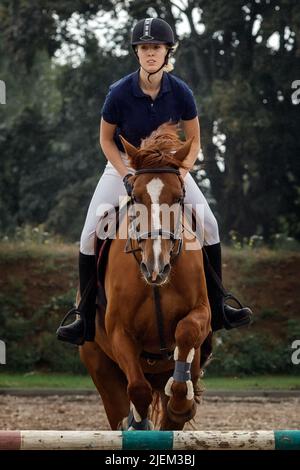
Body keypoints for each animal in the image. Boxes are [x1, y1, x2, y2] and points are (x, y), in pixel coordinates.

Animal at [79, 124, 211, 430]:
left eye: (178, 197)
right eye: (136, 198)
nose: (156, 267)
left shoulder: (202, 311)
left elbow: (186, 331)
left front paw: (181, 402)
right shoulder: (119, 331)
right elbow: (138, 390)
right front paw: (138, 424)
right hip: (101, 368)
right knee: (120, 404)